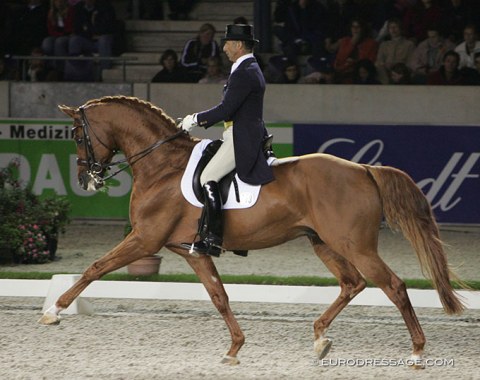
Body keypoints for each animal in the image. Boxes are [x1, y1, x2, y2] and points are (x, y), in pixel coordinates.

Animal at [39, 96, 464, 366]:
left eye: (76, 135)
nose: (87, 179)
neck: (162, 164)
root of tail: (363, 168)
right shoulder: (188, 249)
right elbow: (219, 297)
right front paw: (234, 349)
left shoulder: (144, 239)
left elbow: (95, 267)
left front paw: (55, 311)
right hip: (323, 242)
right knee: (352, 283)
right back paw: (320, 338)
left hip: (354, 244)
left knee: (392, 285)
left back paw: (416, 351)